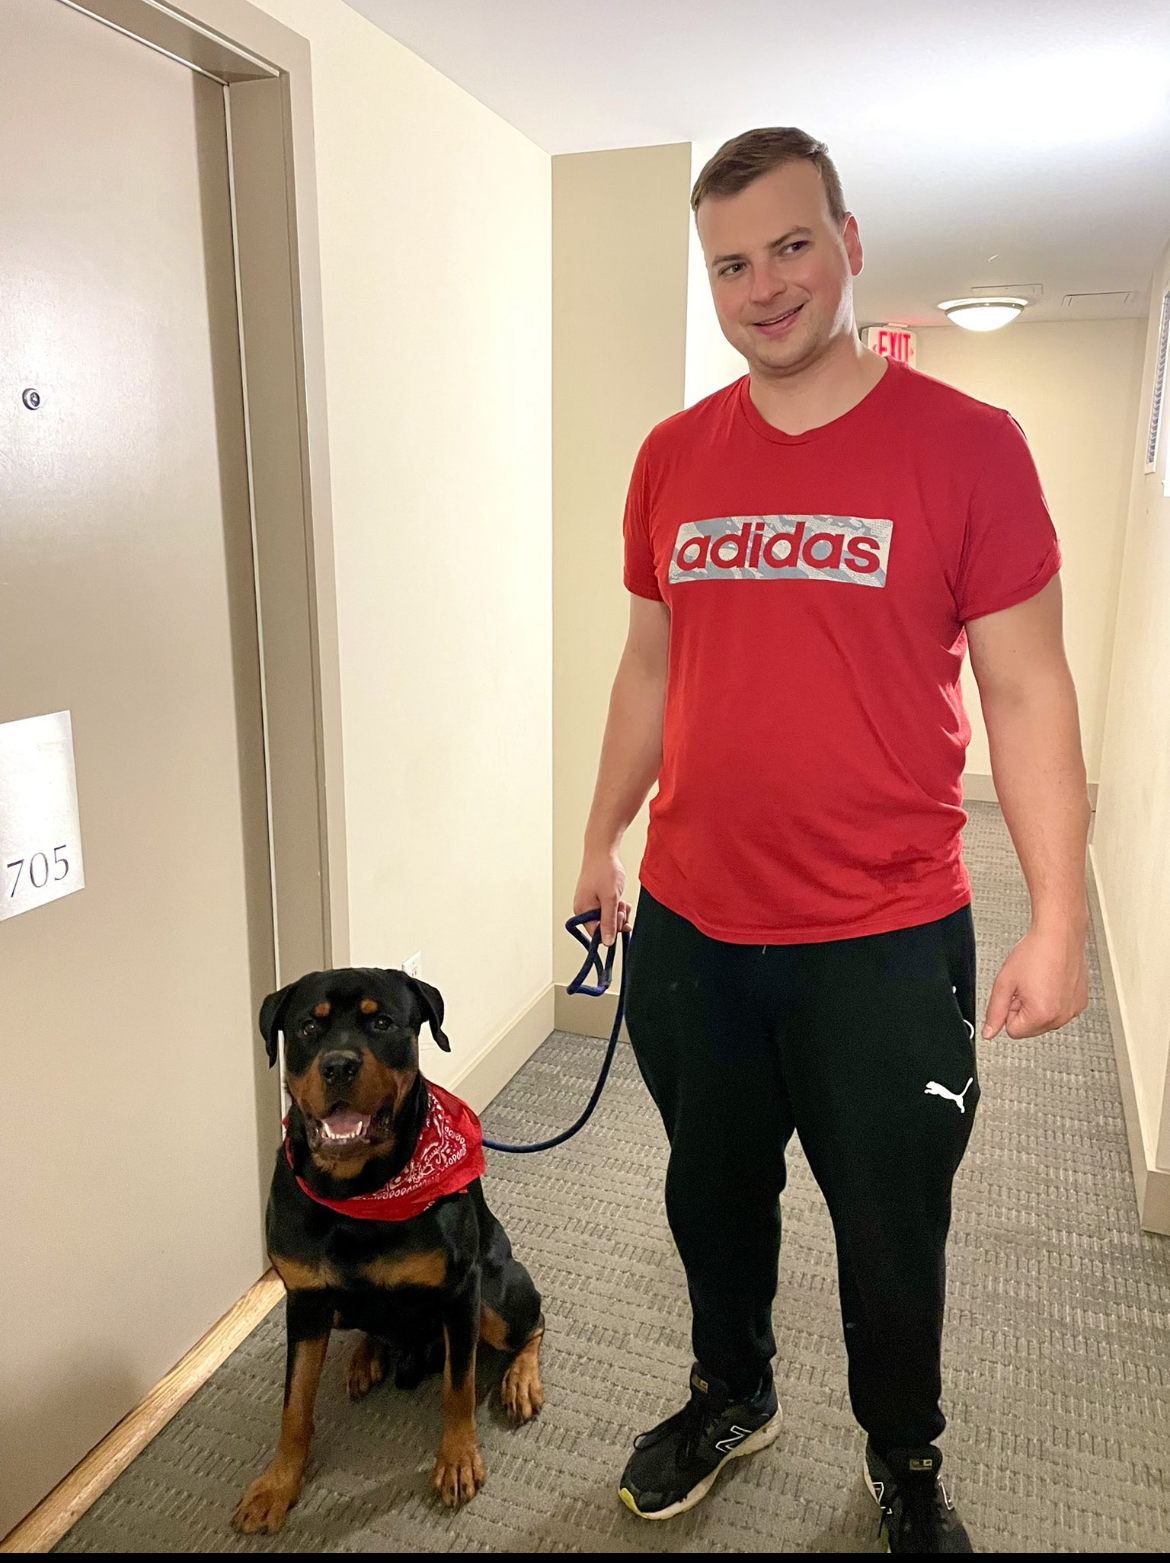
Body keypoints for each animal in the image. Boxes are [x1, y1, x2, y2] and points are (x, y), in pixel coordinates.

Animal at [233, 967, 545, 1535]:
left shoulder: (459, 1292)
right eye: (309, 1028)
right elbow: (294, 1404)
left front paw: (458, 1460)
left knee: (531, 1325)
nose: (338, 1065)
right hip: (337, 1310)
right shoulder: (304, 1301)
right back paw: (366, 1357)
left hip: (495, 1293)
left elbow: (459, 1386)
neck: (357, 1193)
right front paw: (277, 1484)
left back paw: (520, 1380)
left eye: (381, 1023)